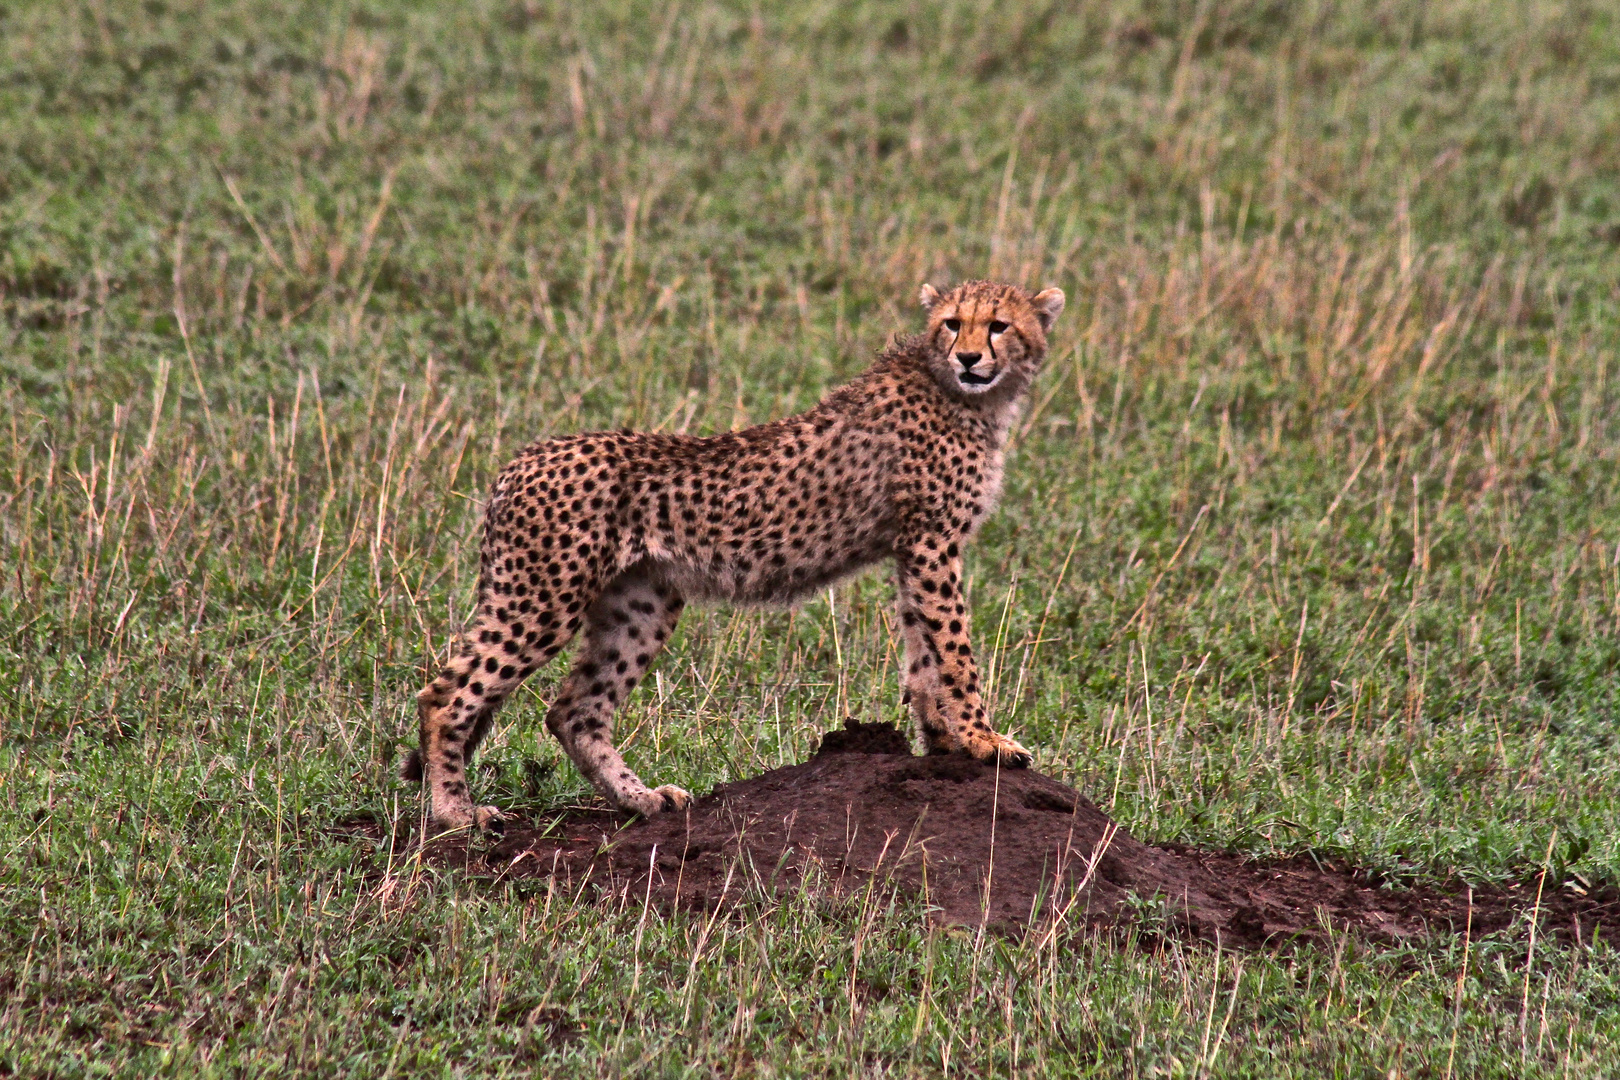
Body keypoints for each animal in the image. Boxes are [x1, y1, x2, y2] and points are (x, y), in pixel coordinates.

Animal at [405, 281, 1062, 835]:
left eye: (999, 325)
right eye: (953, 323)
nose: (969, 358)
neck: (967, 397)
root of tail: (519, 460)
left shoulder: (914, 546)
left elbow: (924, 653)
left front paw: (945, 741)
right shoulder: (931, 540)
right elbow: (954, 649)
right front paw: (985, 739)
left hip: (640, 604)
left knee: (575, 710)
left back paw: (641, 799)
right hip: (544, 598)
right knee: (445, 696)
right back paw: (456, 812)